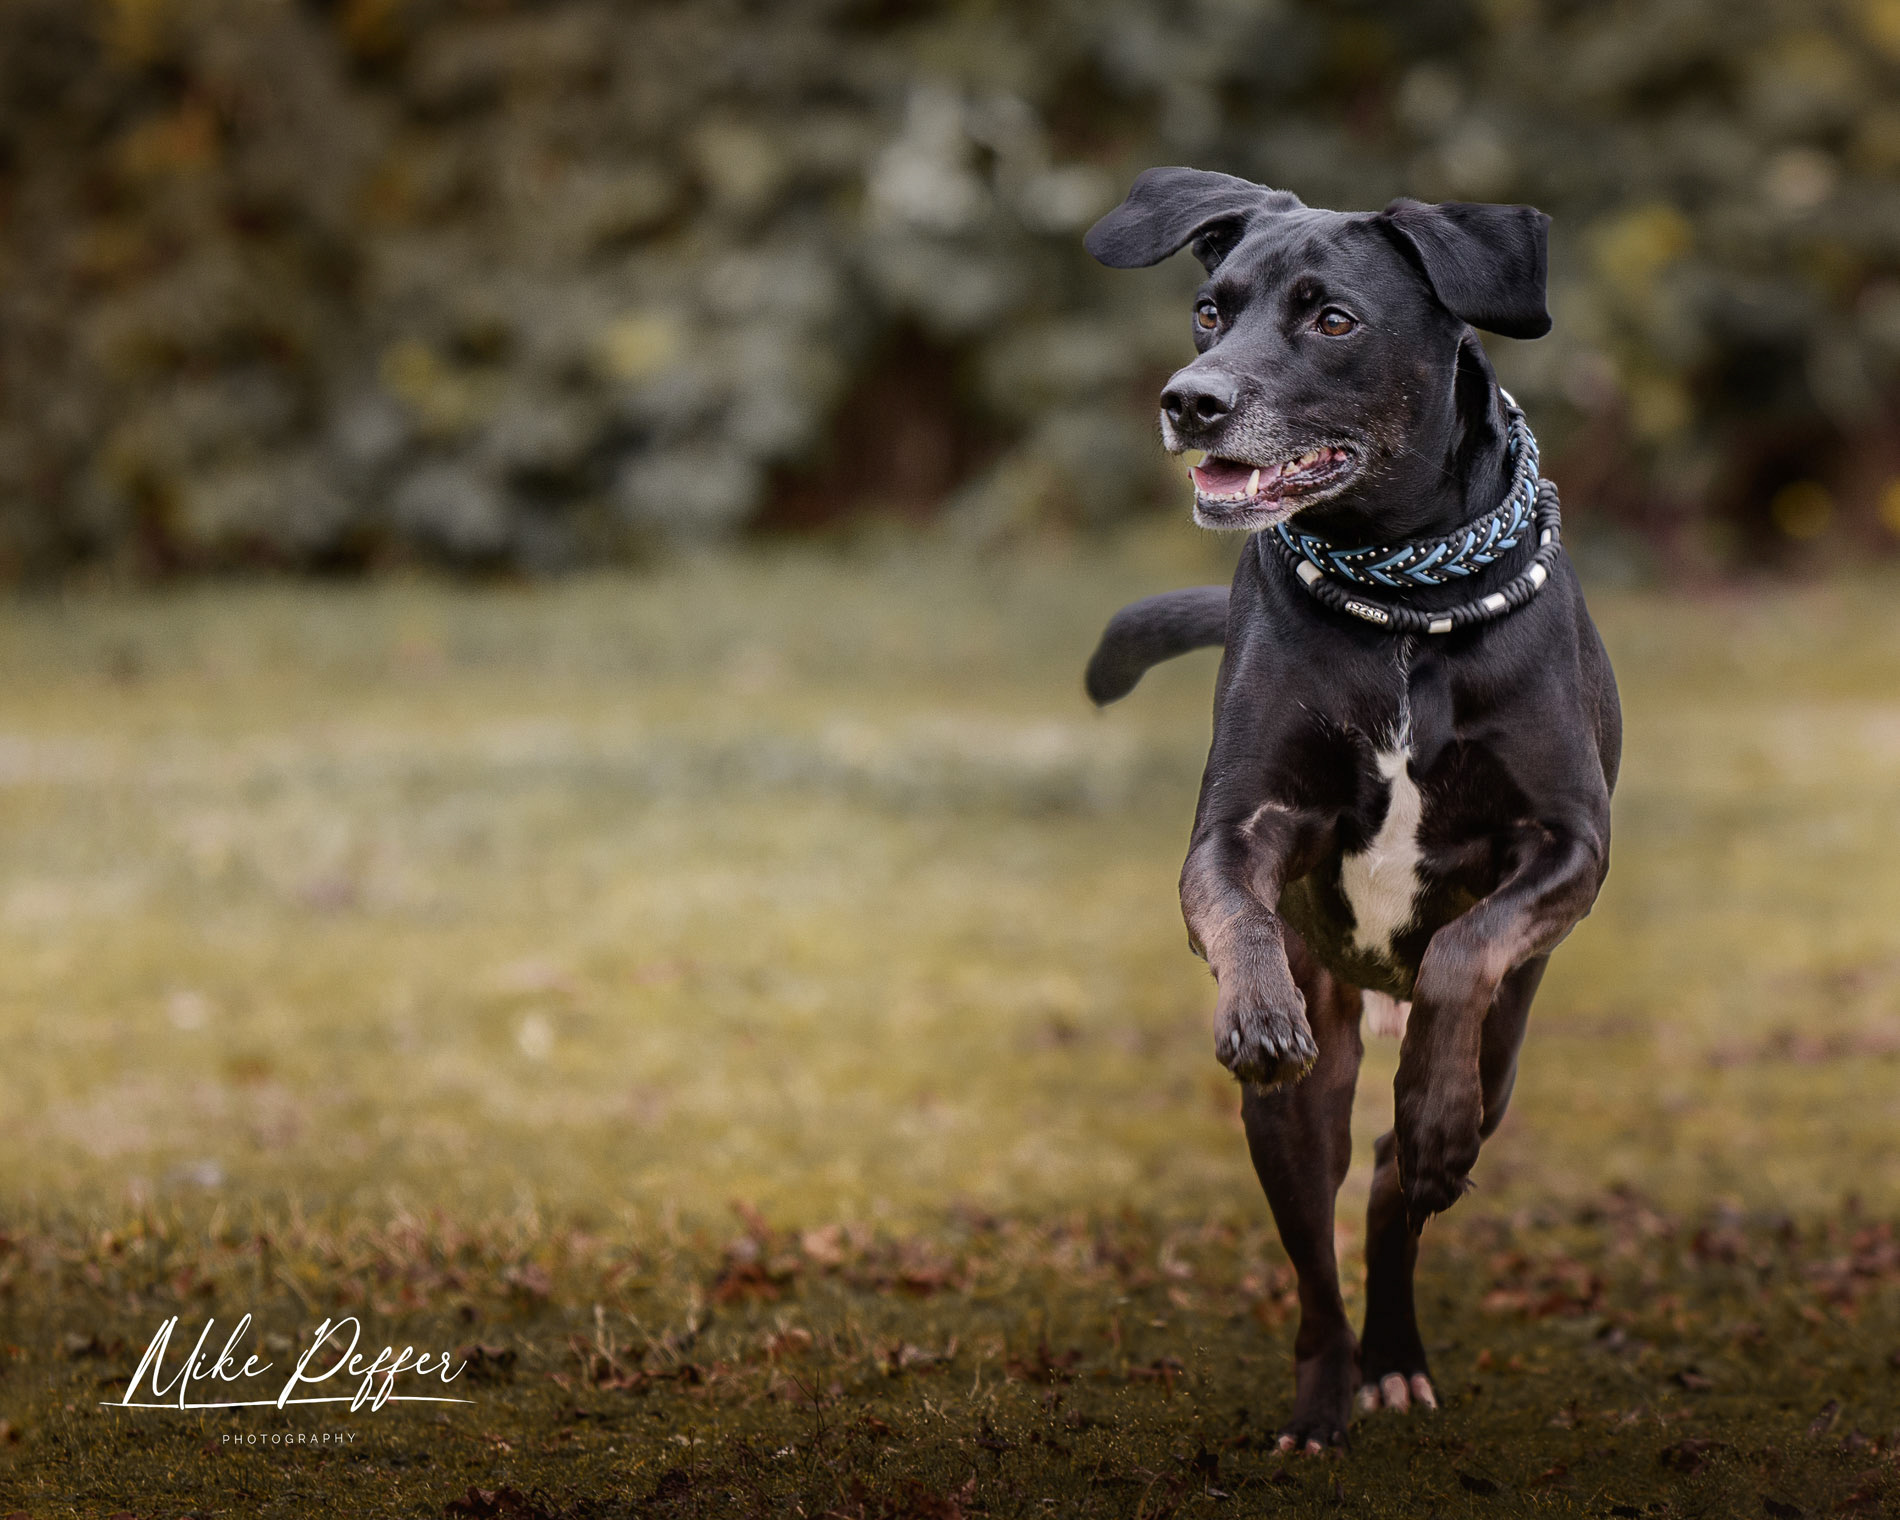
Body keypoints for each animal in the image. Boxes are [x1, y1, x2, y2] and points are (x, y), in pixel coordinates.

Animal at [1081, 169, 1621, 1451]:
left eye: (1332, 320)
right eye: (1209, 310)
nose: (1191, 401)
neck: (1403, 606)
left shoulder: (1569, 842)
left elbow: (1466, 946)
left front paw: (1431, 1105)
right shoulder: (1237, 825)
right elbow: (1229, 902)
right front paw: (1255, 1006)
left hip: (1507, 1053)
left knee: (1392, 1182)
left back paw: (1399, 1333)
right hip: (1294, 1113)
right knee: (1318, 1232)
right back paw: (1325, 1398)